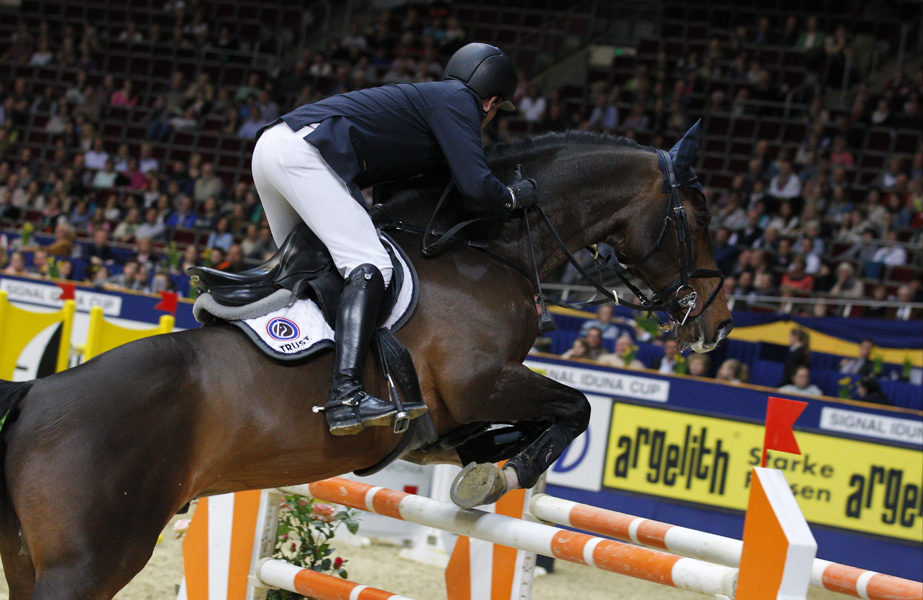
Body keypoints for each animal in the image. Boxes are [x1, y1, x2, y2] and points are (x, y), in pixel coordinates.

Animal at [0, 124, 732, 596]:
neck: (487, 246)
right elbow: (574, 407)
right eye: (697, 216)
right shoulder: (483, 382)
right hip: (87, 563)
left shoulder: (460, 412)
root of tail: (35, 396)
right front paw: (502, 475)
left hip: (28, 559)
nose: (718, 327)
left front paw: (484, 470)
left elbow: (508, 432)